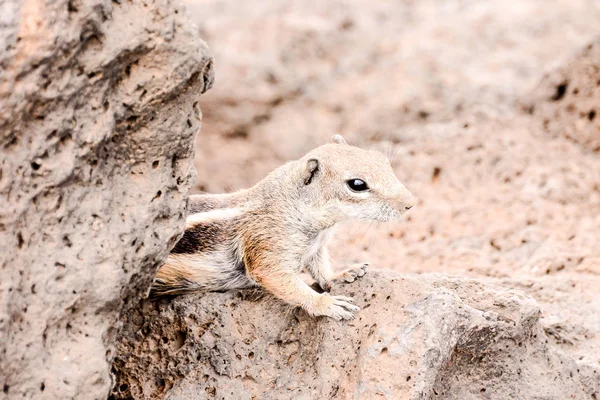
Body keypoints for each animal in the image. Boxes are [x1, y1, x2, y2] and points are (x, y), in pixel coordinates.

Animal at [154, 136, 418, 320]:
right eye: (357, 184)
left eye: (381, 158)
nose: (410, 203)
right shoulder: (268, 247)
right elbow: (283, 282)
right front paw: (327, 304)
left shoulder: (317, 248)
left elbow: (321, 268)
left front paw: (344, 273)